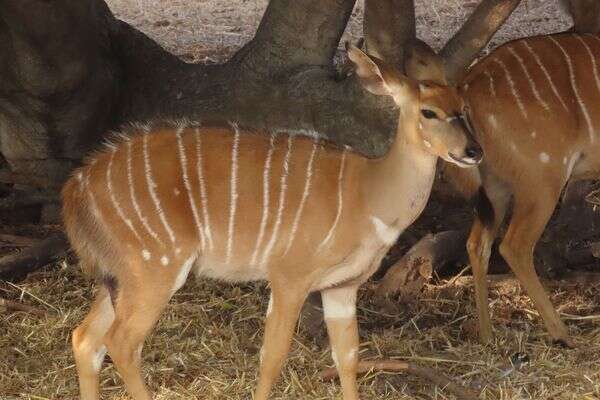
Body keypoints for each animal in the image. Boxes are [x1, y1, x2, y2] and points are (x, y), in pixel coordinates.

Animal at [62, 44, 482, 400]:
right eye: (428, 111)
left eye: (463, 106)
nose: (473, 150)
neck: (367, 193)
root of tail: (76, 188)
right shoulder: (288, 276)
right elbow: (272, 356)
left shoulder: (342, 287)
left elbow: (348, 358)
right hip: (156, 268)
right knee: (121, 342)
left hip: (122, 276)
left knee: (85, 338)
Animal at [425, 32, 600, 347]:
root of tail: (467, 89)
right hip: (543, 182)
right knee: (514, 245)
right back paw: (562, 334)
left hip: (496, 187)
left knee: (477, 243)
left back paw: (487, 334)